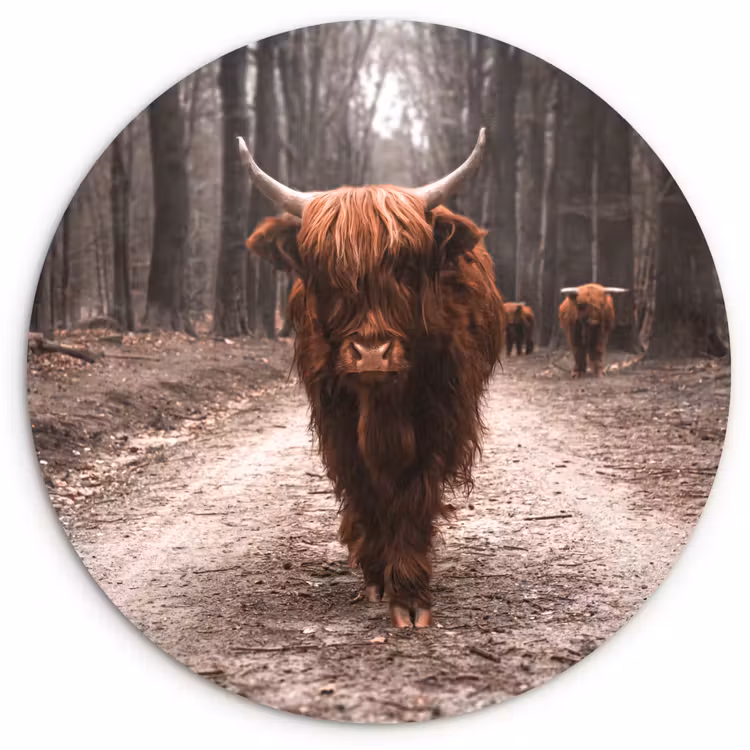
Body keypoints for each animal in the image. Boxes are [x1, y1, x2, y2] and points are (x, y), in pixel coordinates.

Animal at [239, 129, 506, 628]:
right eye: (326, 273)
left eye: (404, 267)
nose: (371, 355)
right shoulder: (336, 421)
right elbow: (364, 488)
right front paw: (378, 576)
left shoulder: (440, 417)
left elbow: (414, 493)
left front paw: (411, 594)